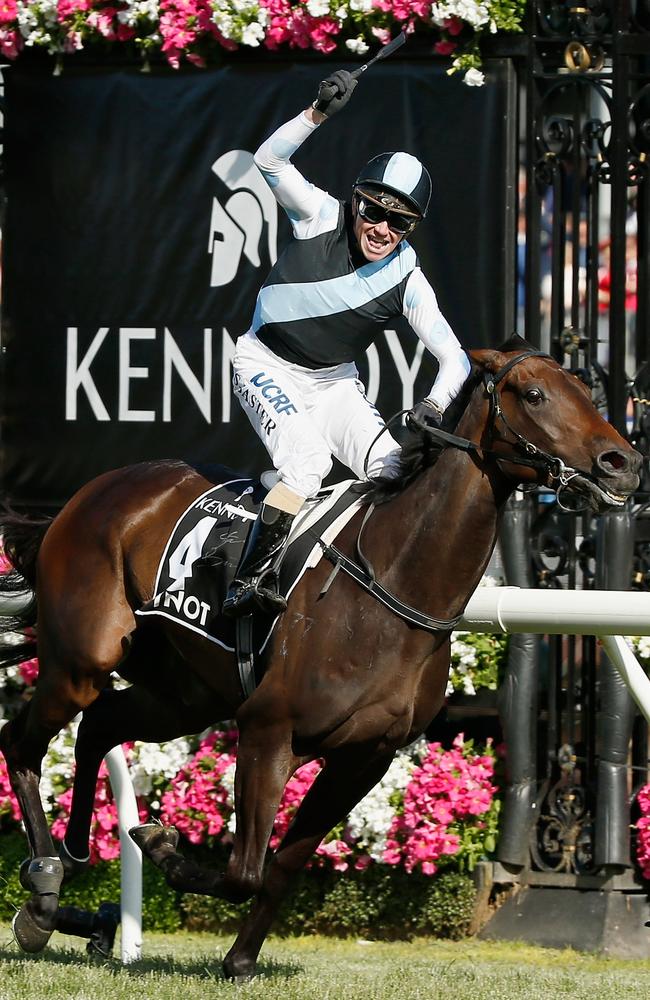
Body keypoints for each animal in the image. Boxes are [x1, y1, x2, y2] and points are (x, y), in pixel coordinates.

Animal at [0, 340, 636, 980]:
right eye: (534, 394)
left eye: (586, 390)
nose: (622, 462)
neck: (392, 582)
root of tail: (91, 492)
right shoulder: (267, 730)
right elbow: (244, 871)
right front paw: (161, 844)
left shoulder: (365, 758)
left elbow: (280, 869)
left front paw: (239, 959)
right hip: (83, 661)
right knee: (22, 742)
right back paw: (44, 888)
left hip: (183, 695)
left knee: (98, 726)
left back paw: (68, 865)